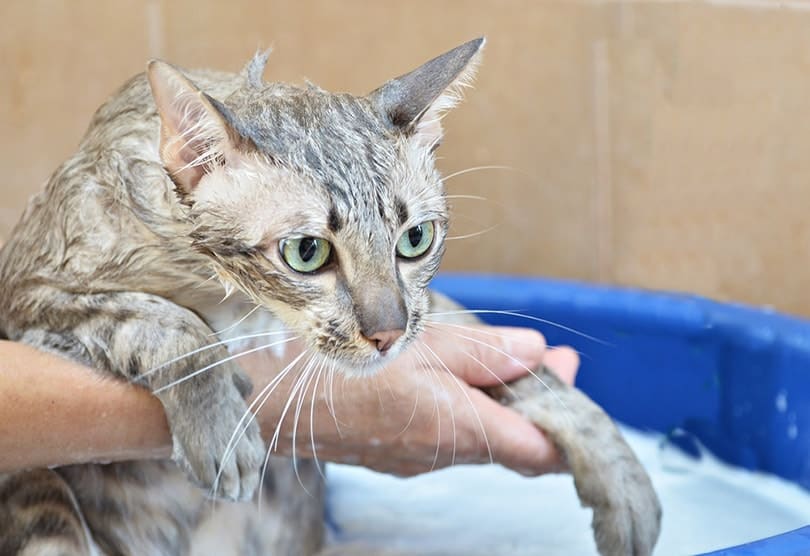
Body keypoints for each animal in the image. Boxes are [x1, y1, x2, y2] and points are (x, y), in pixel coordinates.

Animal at [0, 39, 656, 556]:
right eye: (307, 252)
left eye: (415, 239)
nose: (388, 334)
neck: (226, 295)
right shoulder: (27, 294)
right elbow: (171, 325)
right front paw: (222, 431)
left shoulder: (424, 309)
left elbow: (520, 362)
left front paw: (624, 481)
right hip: (44, 506)